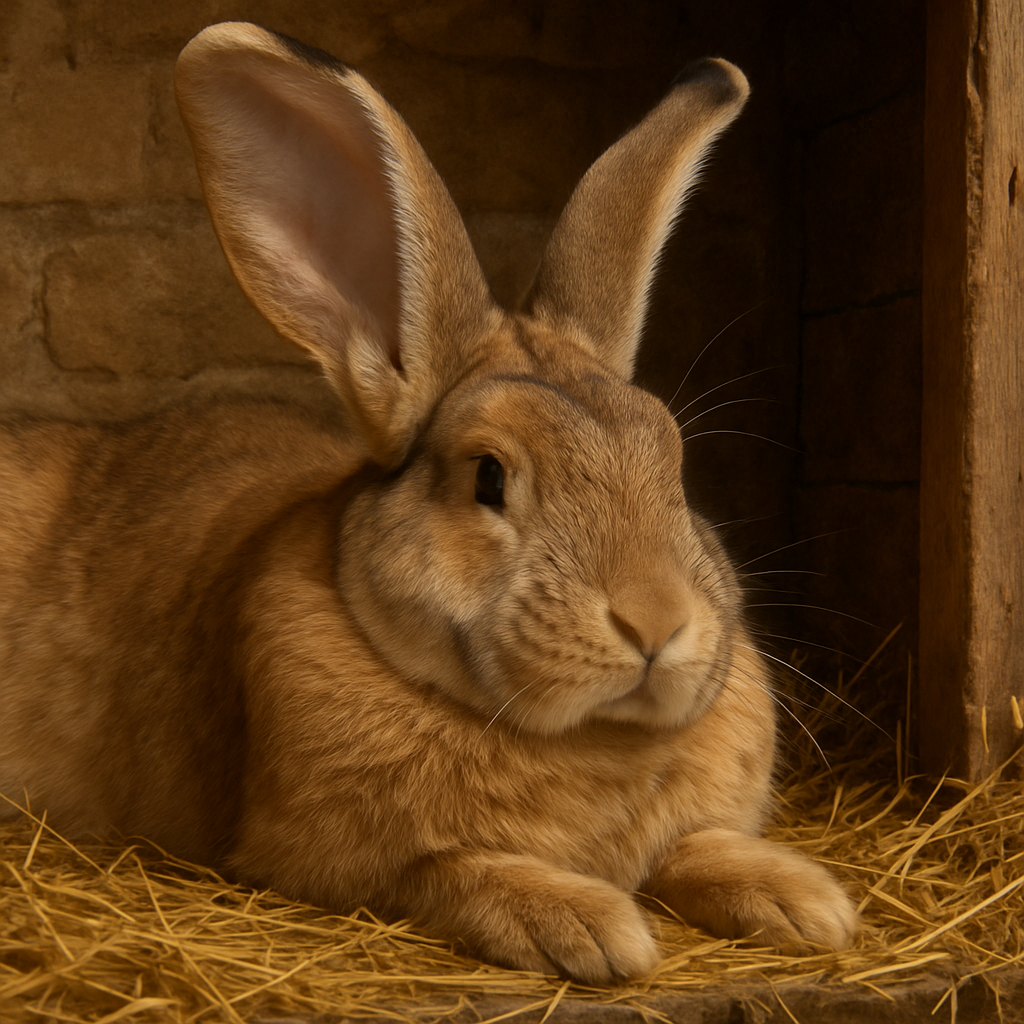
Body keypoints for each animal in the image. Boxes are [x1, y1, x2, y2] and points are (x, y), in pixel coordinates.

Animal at [0, 22, 857, 984]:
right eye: (488, 476)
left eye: (672, 464)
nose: (657, 623)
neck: (588, 739)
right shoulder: (325, 858)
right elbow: (449, 870)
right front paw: (592, 928)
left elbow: (697, 846)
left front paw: (807, 903)